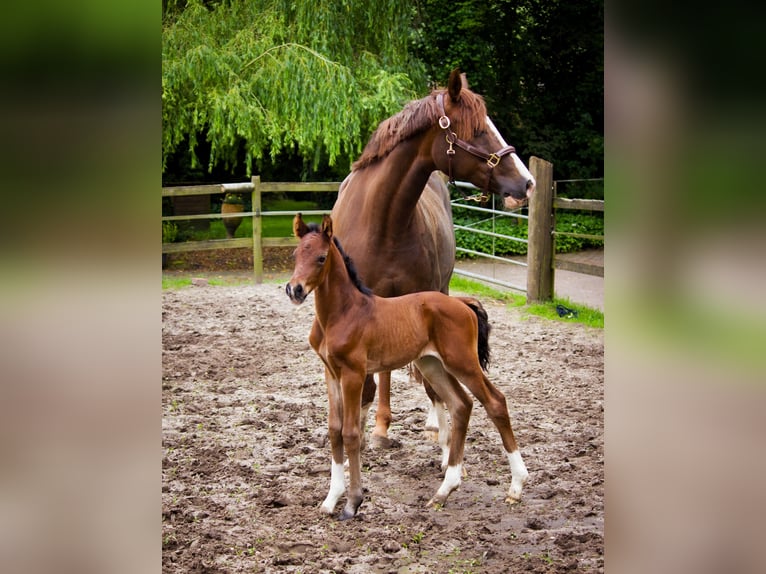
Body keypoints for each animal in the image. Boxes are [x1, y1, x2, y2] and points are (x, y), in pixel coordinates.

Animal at [284, 214, 532, 520]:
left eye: (321, 257)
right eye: (295, 255)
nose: (294, 290)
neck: (343, 312)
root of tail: (463, 303)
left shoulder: (353, 373)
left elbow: (350, 433)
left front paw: (353, 503)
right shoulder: (330, 372)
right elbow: (334, 430)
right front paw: (331, 499)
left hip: (462, 362)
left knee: (495, 401)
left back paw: (516, 486)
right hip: (432, 364)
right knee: (461, 404)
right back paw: (443, 491)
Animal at [332, 70, 536, 448]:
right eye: (478, 130)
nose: (527, 183)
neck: (384, 223)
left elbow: (432, 381)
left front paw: (441, 436)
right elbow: (368, 384)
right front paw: (364, 434)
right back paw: (382, 426)